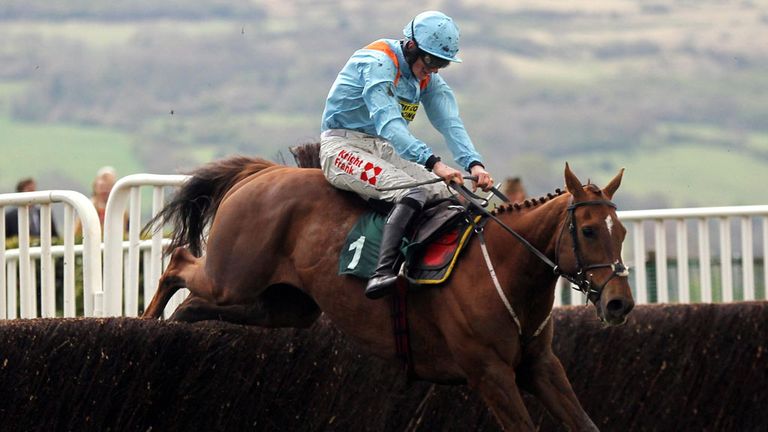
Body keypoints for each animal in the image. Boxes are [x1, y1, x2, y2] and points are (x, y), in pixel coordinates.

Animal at [141, 156, 632, 432]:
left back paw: (175, 323)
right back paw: (146, 323)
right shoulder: (489, 372)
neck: (503, 265)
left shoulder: (540, 365)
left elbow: (585, 423)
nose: (619, 303)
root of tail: (262, 172)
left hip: (283, 305)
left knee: (196, 304)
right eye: (589, 230)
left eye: (622, 231)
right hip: (233, 273)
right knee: (179, 262)